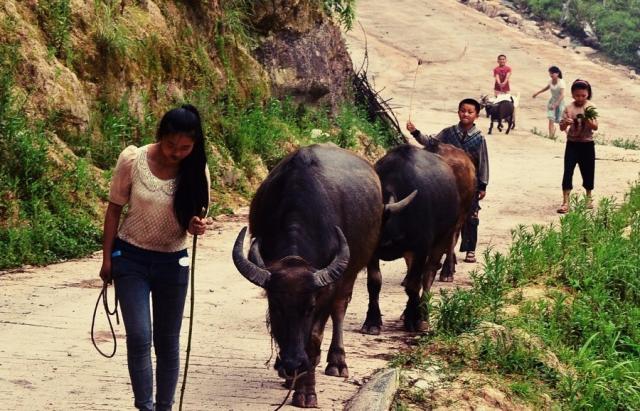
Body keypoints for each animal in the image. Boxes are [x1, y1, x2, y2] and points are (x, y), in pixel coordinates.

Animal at [232, 143, 382, 408]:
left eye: (310, 306)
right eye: (275, 306)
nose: (292, 363)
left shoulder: (327, 291)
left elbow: (313, 338)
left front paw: (306, 392)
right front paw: (290, 375)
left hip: (351, 273)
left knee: (340, 309)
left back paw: (336, 362)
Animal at [360, 145, 460, 334]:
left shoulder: (420, 249)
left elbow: (414, 284)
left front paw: (415, 319)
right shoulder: (373, 254)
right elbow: (374, 283)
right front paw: (372, 321)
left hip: (443, 238)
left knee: (427, 276)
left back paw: (423, 316)